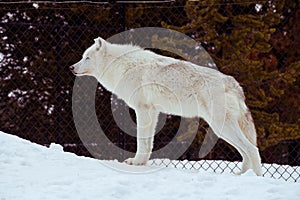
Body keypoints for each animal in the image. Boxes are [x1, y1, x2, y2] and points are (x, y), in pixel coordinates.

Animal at [70, 37, 262, 175]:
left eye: (87, 58)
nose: (71, 67)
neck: (120, 66)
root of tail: (234, 84)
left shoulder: (142, 110)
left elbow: (141, 140)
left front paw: (136, 162)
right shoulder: (152, 112)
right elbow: (148, 144)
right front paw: (141, 163)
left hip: (221, 127)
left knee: (252, 149)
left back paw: (255, 178)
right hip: (221, 129)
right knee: (246, 152)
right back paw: (241, 176)